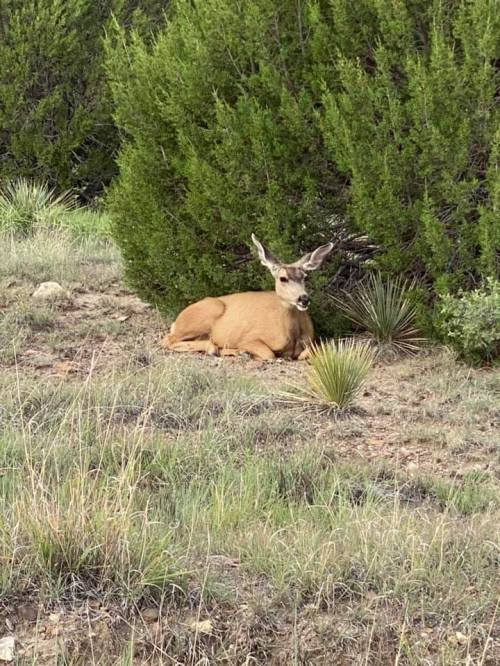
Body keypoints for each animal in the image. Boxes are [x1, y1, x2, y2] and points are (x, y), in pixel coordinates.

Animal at [161, 234, 334, 361]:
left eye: (304, 277)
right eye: (283, 278)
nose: (303, 299)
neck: (292, 335)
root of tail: (177, 321)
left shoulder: (312, 342)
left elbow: (311, 352)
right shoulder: (249, 338)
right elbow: (269, 354)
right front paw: (247, 351)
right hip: (206, 313)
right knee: (168, 340)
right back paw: (216, 349)